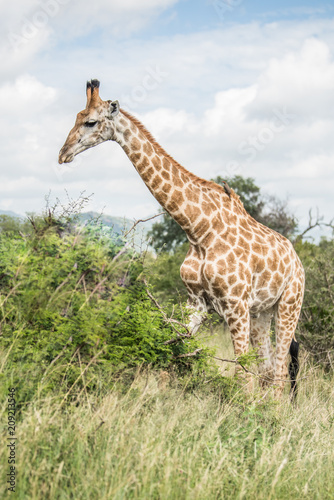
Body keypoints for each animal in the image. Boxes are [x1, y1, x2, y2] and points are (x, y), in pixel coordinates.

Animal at [58, 79, 304, 398]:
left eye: (91, 122)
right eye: (76, 117)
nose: (63, 153)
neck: (199, 231)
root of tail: (297, 260)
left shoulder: (235, 304)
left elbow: (241, 375)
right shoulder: (197, 302)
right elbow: (169, 354)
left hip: (289, 303)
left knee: (278, 371)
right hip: (262, 311)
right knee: (268, 369)